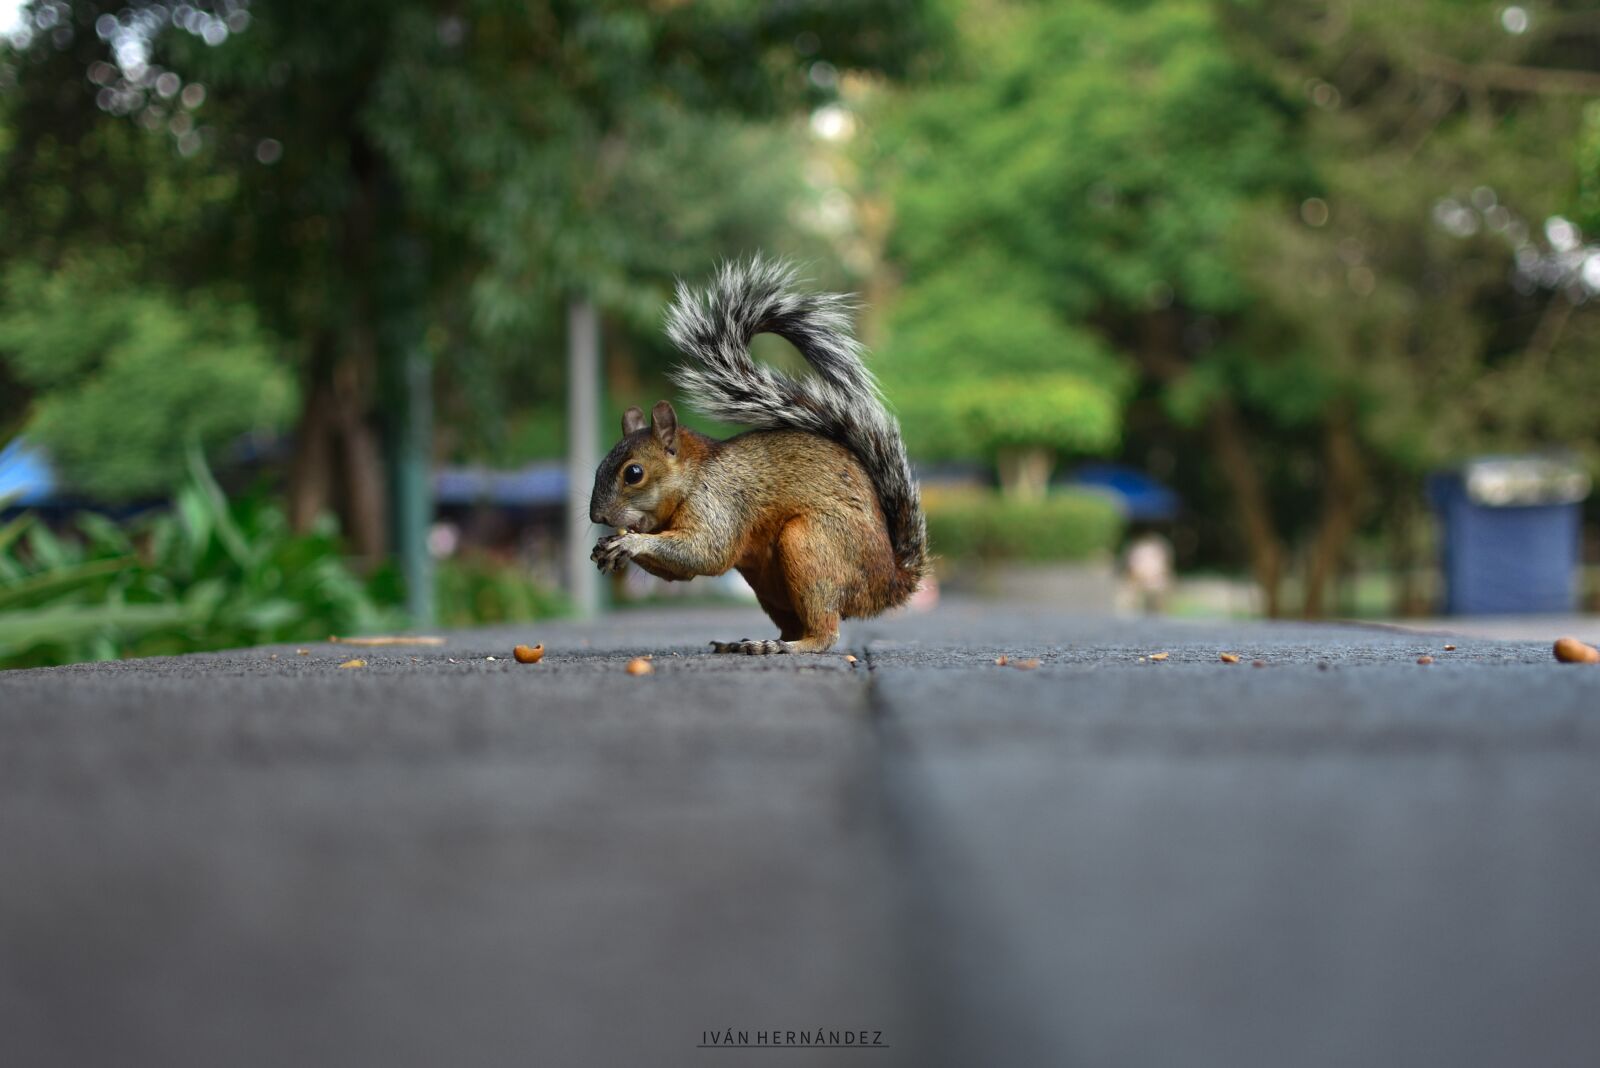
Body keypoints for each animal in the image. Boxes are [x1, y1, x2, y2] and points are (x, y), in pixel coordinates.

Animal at [588, 257, 928, 654]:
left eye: (634, 473)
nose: (597, 517)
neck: (694, 477)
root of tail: (889, 583)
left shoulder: (720, 503)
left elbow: (706, 551)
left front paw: (629, 542)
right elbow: (683, 570)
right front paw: (605, 547)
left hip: (812, 546)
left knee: (825, 631)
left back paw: (790, 646)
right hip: (768, 582)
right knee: (793, 623)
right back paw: (752, 643)